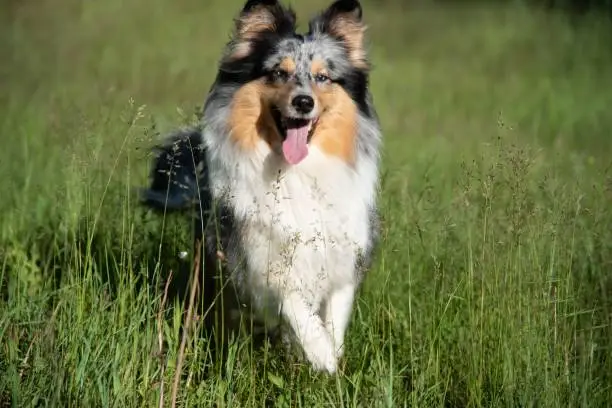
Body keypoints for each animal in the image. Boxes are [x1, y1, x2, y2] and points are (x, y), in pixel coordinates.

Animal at [143, 0, 380, 372]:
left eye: (322, 77)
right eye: (278, 73)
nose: (303, 102)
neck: (298, 171)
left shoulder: (344, 254)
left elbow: (334, 317)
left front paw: (331, 356)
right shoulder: (257, 258)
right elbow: (295, 304)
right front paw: (322, 356)